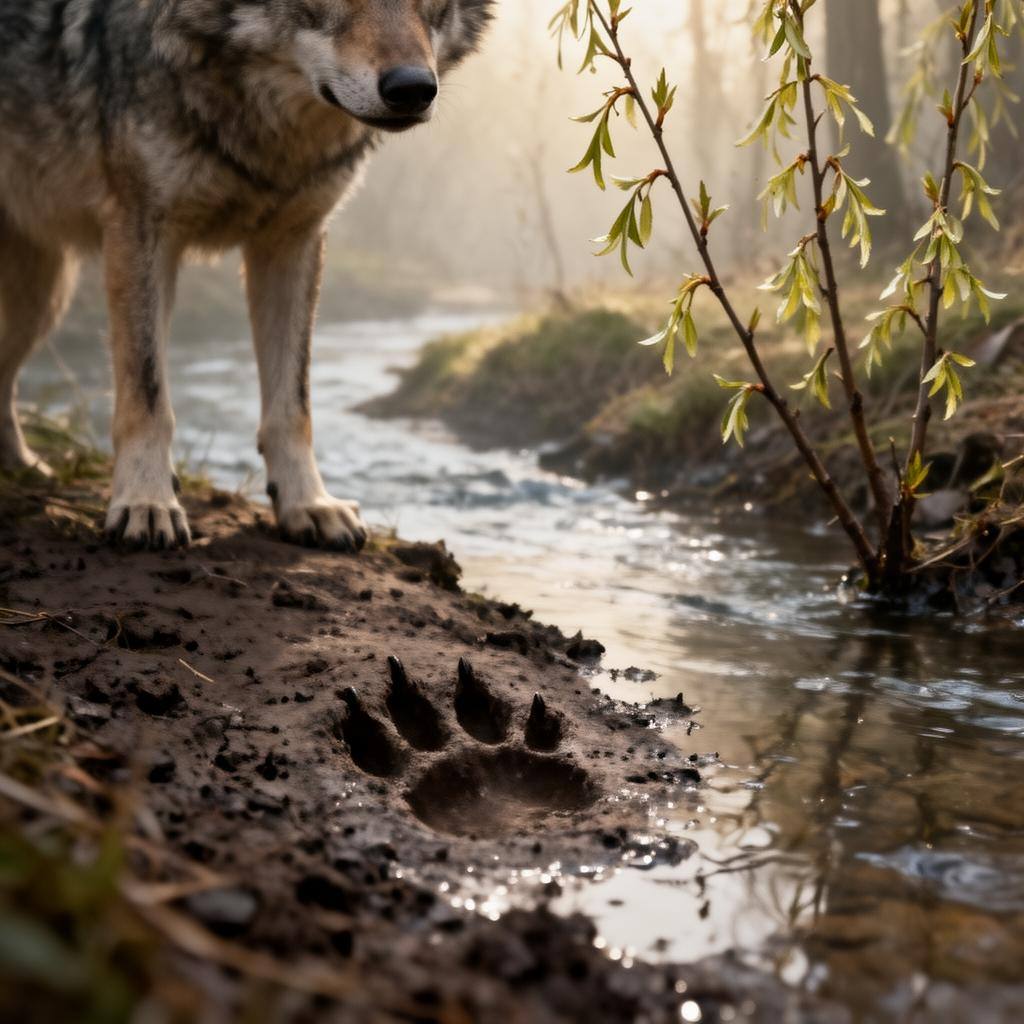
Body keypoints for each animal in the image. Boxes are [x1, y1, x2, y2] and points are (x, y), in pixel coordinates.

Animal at [0, 0, 493, 550]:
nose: (413, 88)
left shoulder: (293, 244)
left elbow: (293, 404)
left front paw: (308, 503)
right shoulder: (141, 232)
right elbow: (147, 392)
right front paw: (147, 502)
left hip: (41, 302)